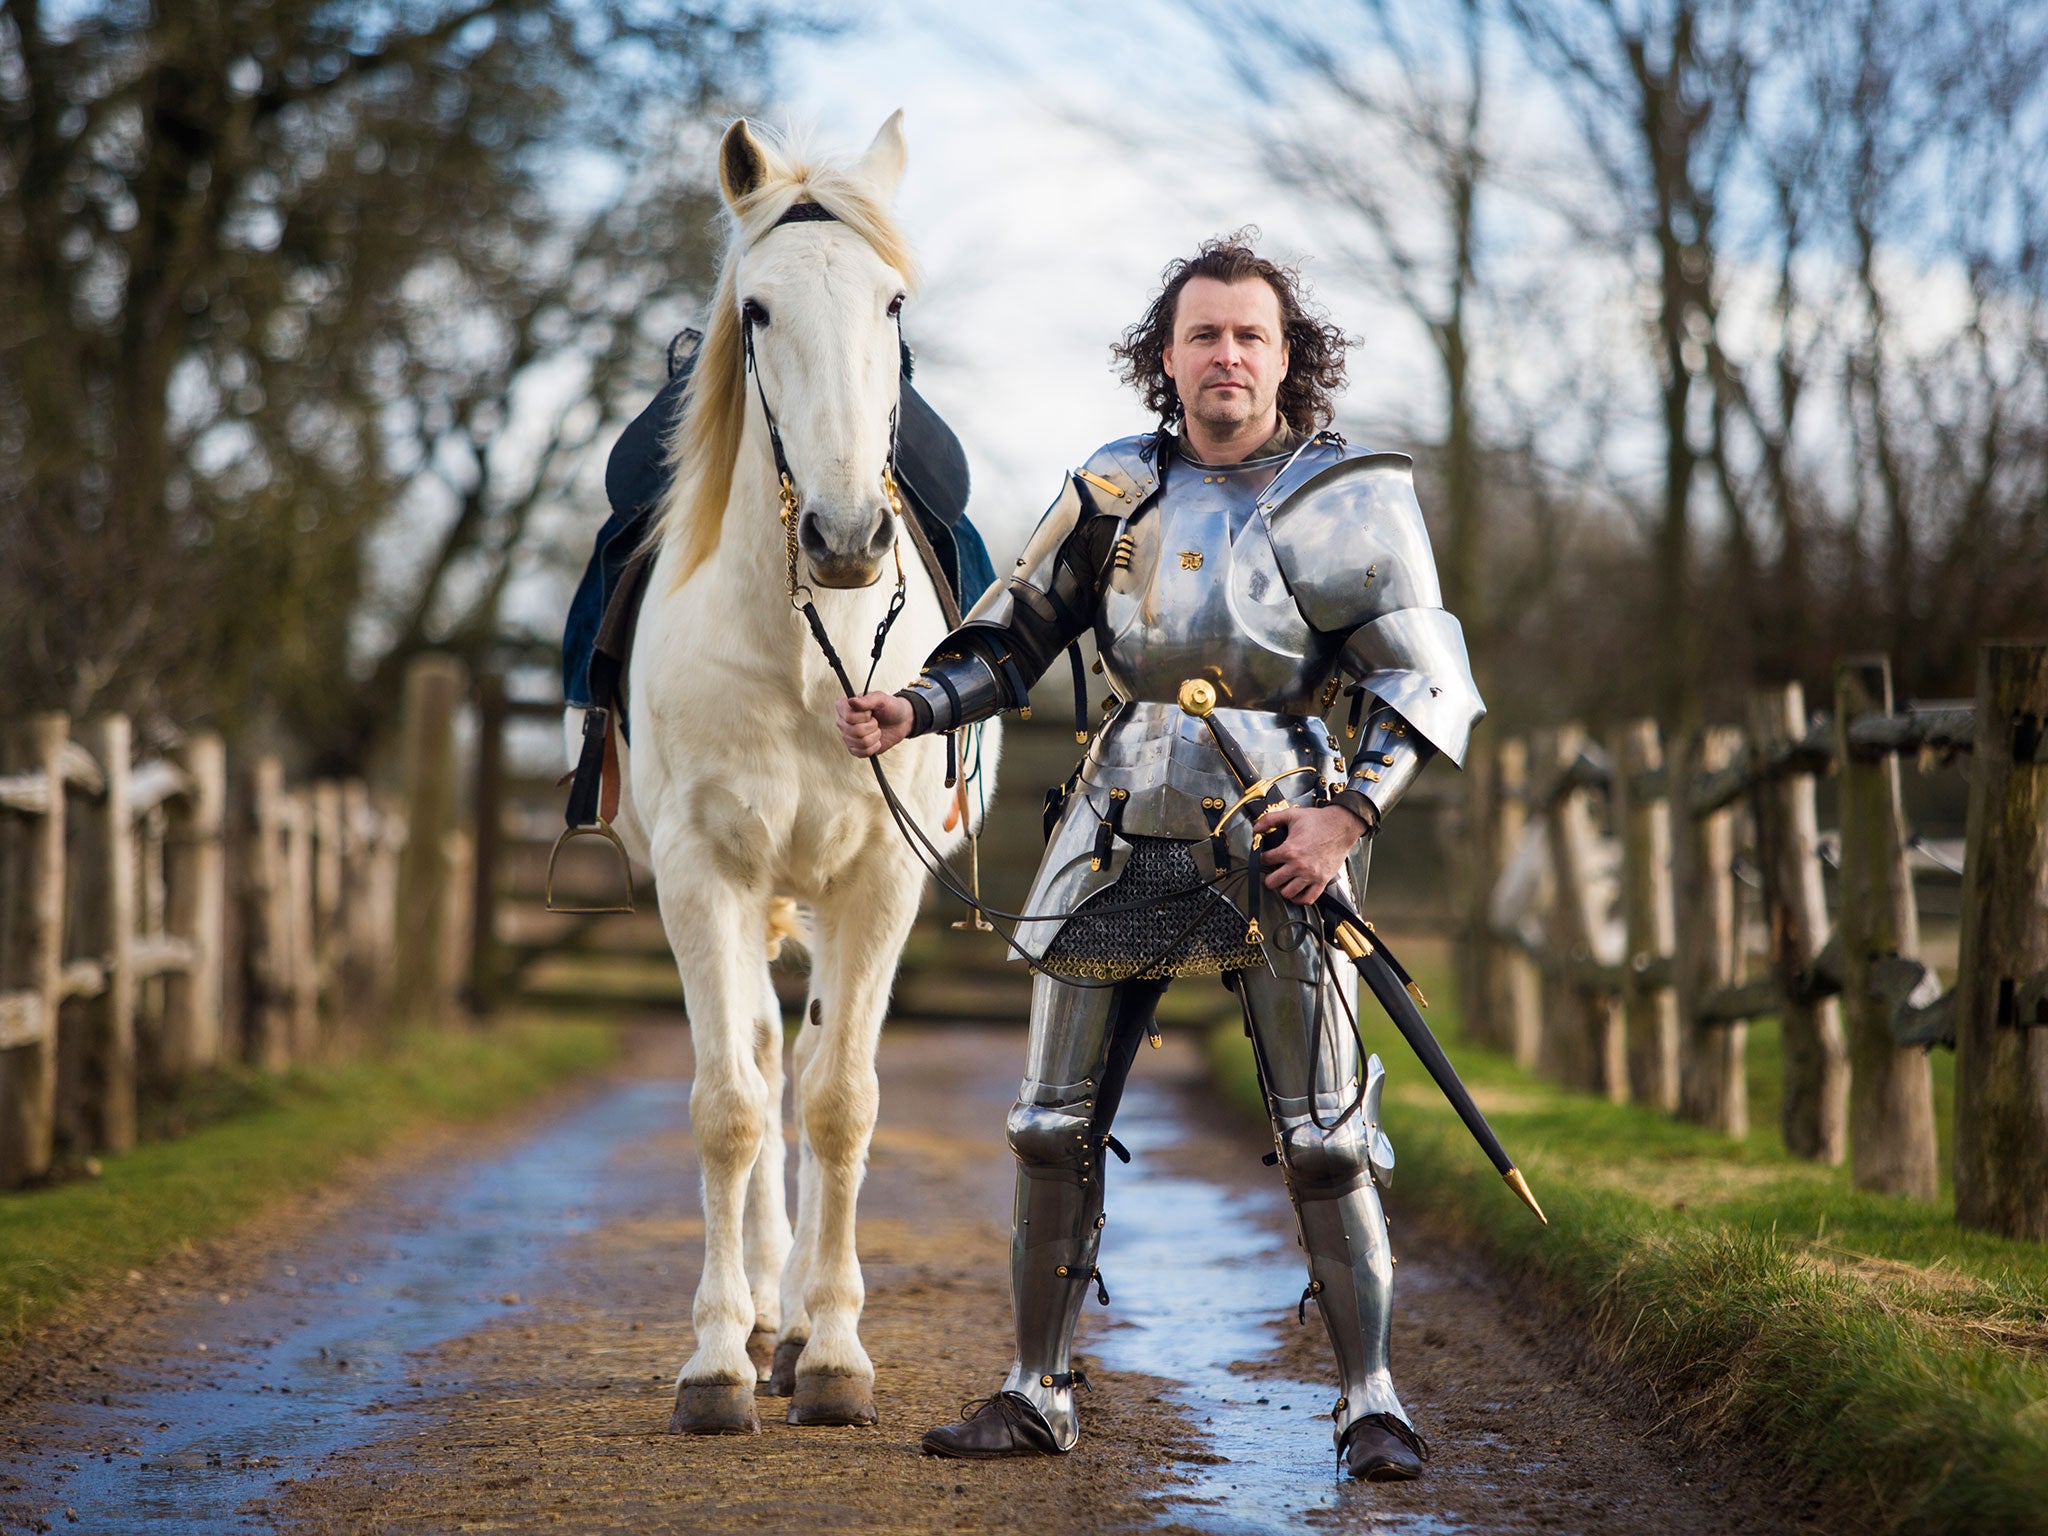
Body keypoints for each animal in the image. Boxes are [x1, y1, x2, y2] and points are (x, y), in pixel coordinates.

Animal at [577, 114, 999, 1441]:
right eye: (756, 309)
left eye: (892, 302)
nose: (847, 538)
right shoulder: (702, 874)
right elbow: (730, 1103)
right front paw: (719, 1357)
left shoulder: (879, 882)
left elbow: (841, 1102)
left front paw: (836, 1354)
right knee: (763, 1064)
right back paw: (767, 1307)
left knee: (809, 1071)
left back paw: (806, 1318)